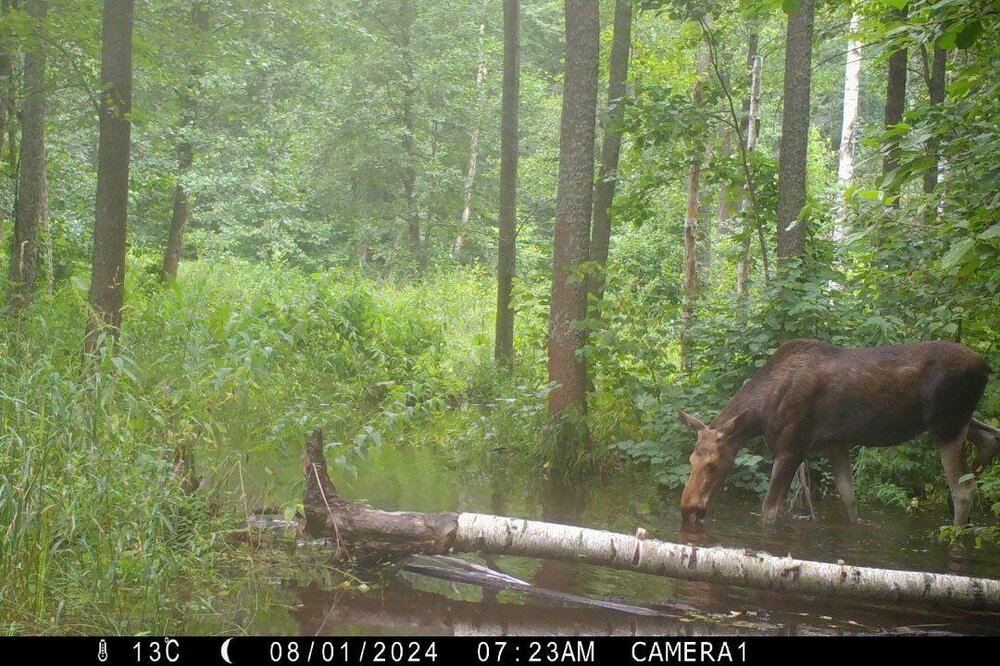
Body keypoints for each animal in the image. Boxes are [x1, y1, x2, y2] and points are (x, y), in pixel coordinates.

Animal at [676, 340, 996, 528]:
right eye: (691, 461)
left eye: (713, 465)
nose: (688, 508)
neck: (762, 412)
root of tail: (986, 367)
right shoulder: (835, 444)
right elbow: (849, 498)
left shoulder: (791, 448)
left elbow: (769, 511)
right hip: (959, 421)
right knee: (992, 436)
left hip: (947, 425)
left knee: (963, 490)